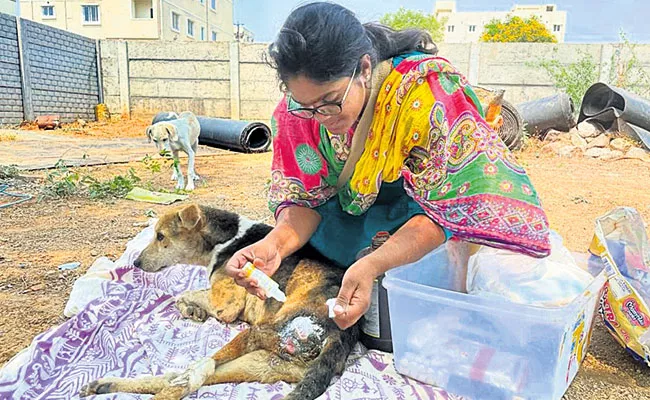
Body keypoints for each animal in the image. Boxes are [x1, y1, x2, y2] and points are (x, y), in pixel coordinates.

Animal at [79, 205, 360, 398]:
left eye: (160, 236)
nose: (135, 263)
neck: (226, 240)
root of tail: (340, 335)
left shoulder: (225, 304)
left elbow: (184, 293)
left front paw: (189, 307)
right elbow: (186, 295)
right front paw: (192, 311)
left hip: (260, 334)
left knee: (192, 374)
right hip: (263, 364)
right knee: (184, 377)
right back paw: (105, 384)